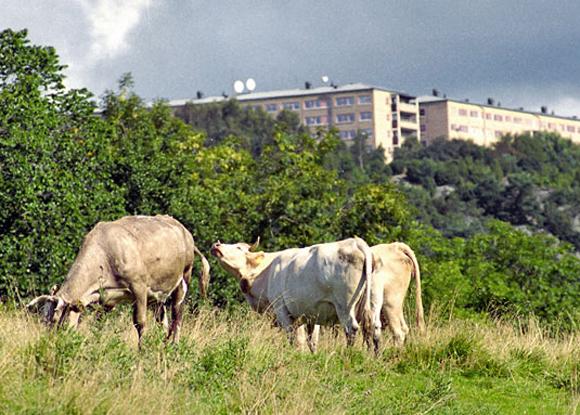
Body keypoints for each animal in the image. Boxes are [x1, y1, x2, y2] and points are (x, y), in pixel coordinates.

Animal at [27, 216, 210, 346]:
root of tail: (184, 230)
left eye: (56, 320)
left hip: (182, 281)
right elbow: (98, 324)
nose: (49, 344)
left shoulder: (139, 288)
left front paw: (141, 351)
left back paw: (174, 346)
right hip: (158, 294)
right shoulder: (105, 298)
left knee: (177, 317)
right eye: (43, 321)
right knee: (163, 321)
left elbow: (140, 323)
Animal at [212, 237, 376, 352]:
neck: (266, 271)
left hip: (345, 306)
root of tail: (355, 242)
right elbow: (310, 341)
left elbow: (294, 339)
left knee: (351, 329)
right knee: (371, 329)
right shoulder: (309, 315)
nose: (216, 245)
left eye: (238, 247)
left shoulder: (282, 310)